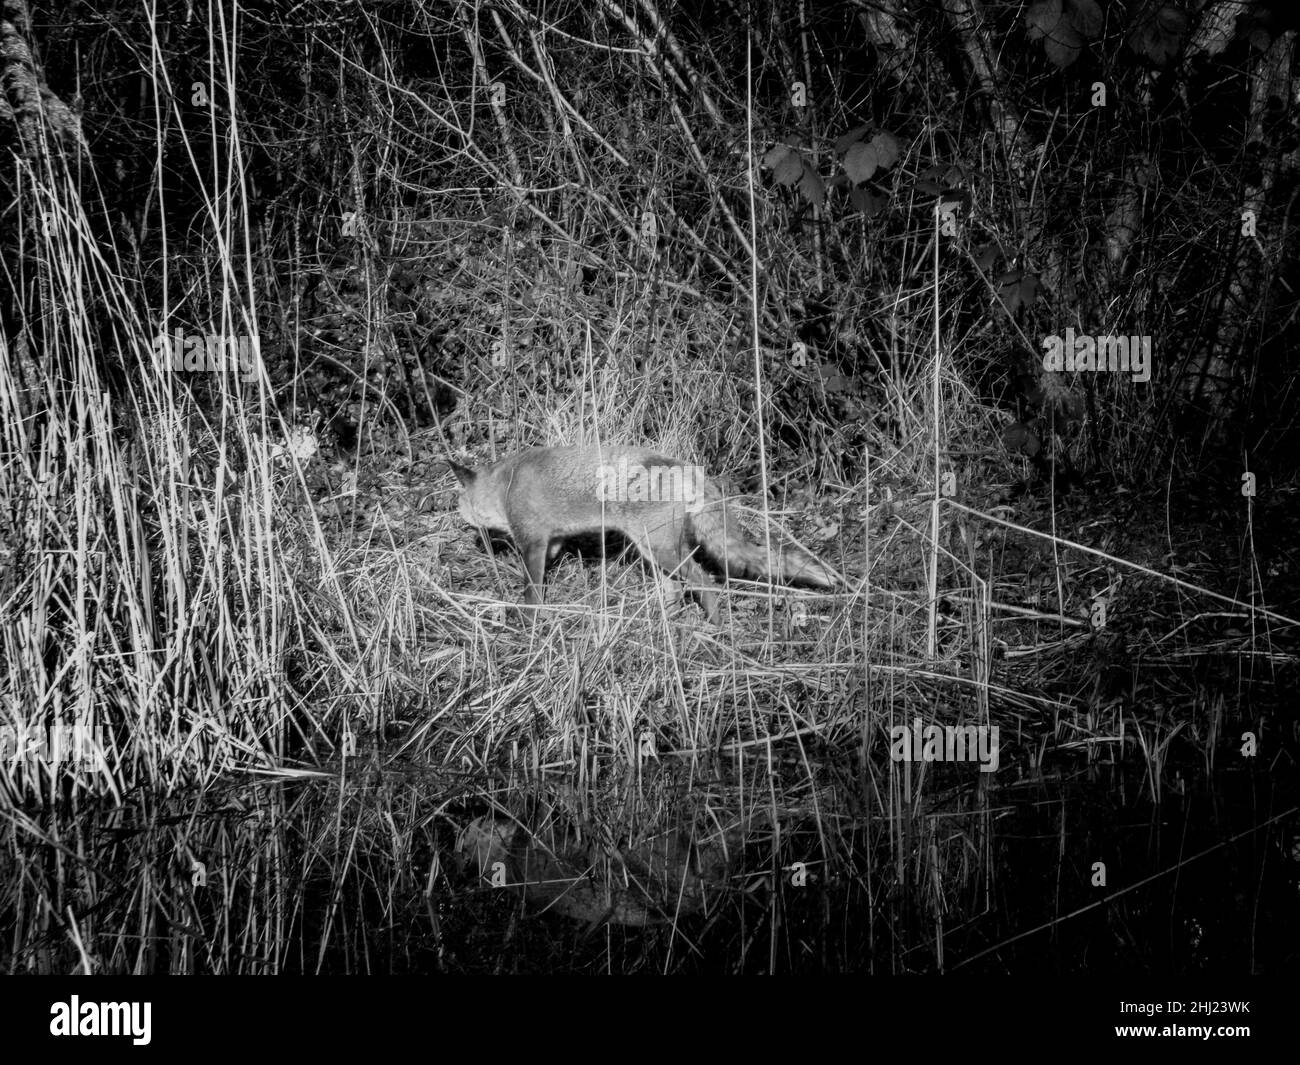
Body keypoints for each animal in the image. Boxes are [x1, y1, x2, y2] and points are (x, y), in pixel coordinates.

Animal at [449, 444, 842, 624]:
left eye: (460, 505)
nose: (468, 532)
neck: (506, 485)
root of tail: (687, 468)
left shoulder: (531, 540)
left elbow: (531, 591)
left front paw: (528, 622)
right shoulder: (551, 541)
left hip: (663, 550)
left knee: (705, 582)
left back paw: (714, 628)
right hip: (656, 552)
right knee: (675, 591)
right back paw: (664, 625)